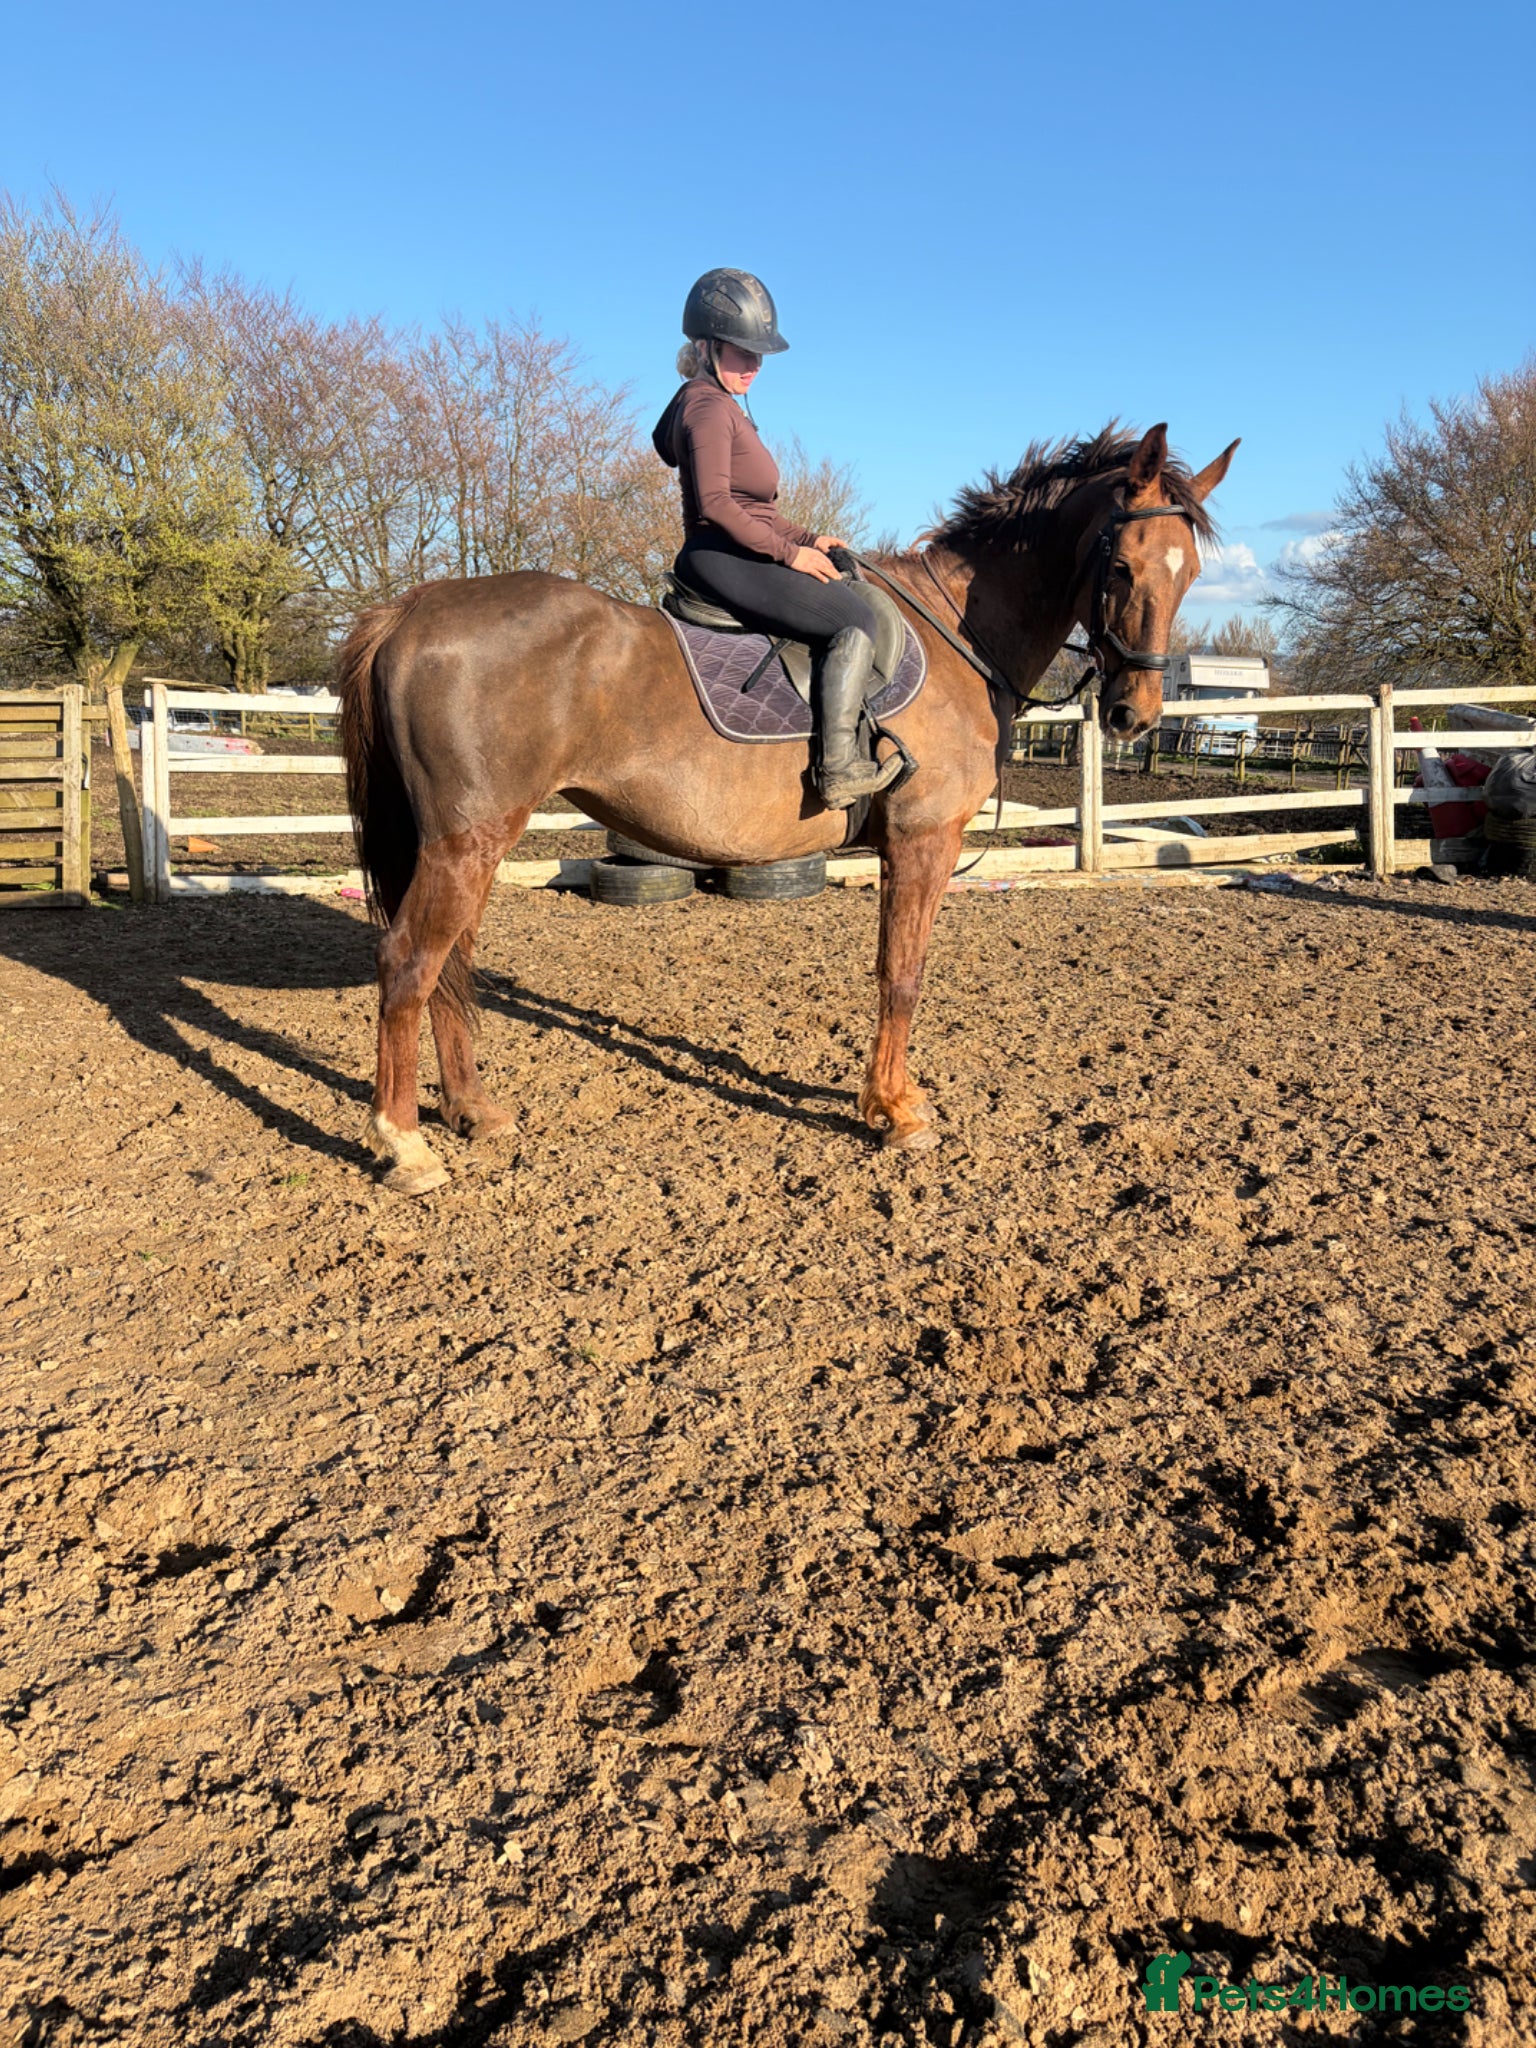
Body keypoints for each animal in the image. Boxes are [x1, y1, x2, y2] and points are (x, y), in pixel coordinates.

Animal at [337, 422, 1237, 1194]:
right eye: (1120, 567)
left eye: (1189, 573)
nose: (1133, 715)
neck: (959, 632)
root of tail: (410, 608)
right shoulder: (922, 840)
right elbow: (902, 974)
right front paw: (895, 1113)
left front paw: (892, 1100)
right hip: (466, 841)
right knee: (409, 963)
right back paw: (405, 1143)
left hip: (469, 843)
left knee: (450, 965)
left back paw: (472, 1112)